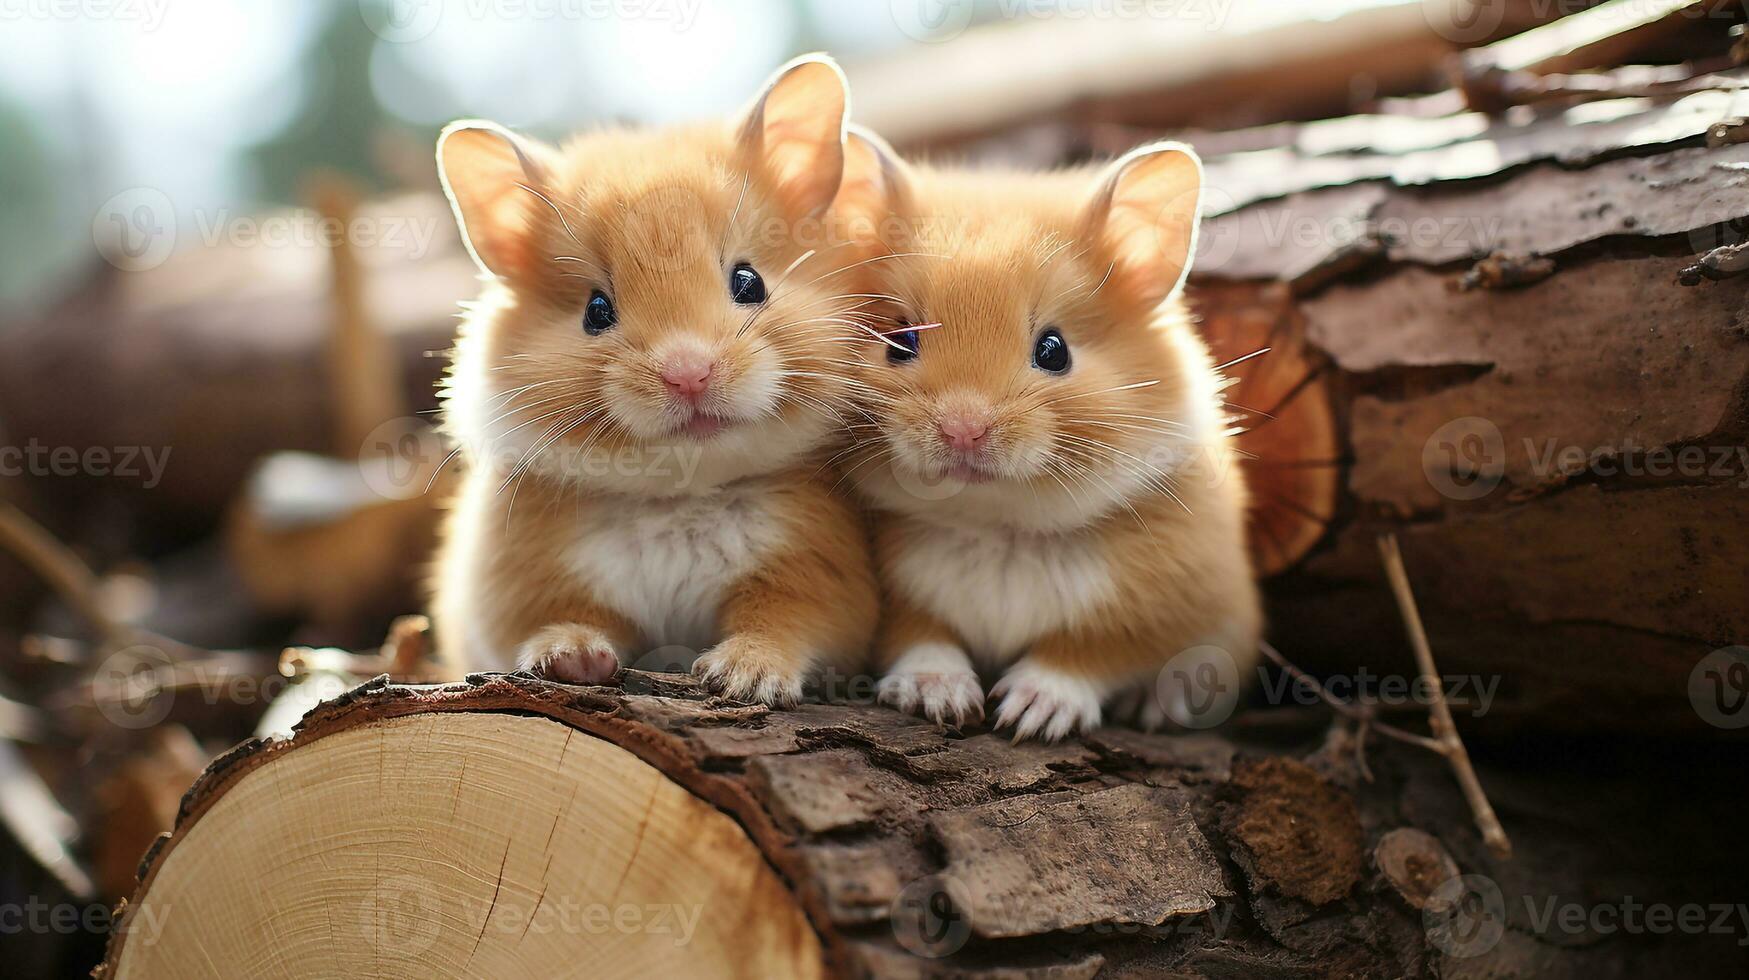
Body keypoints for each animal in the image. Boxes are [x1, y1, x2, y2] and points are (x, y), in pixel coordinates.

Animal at [432, 55, 881, 703]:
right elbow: (569, 620)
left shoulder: (815, 578)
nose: (688, 374)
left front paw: (741, 678)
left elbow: (780, 626)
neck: (680, 495)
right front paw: (570, 660)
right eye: (596, 310)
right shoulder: (531, 587)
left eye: (749, 281)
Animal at [829, 128, 1259, 742]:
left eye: (1054, 350)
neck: (1001, 528)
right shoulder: (899, 600)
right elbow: (922, 639)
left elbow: (1082, 652)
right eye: (900, 341)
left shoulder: (1149, 608)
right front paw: (940, 700)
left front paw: (1027, 717)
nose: (963, 429)